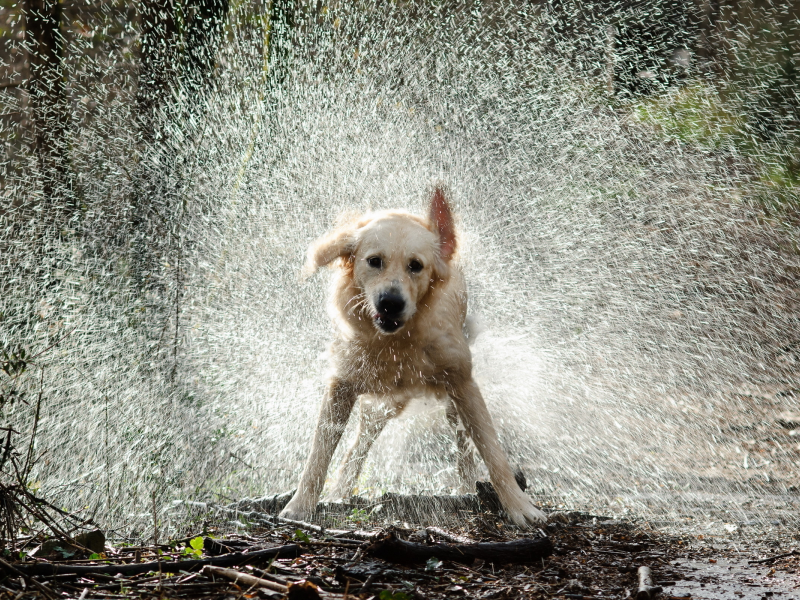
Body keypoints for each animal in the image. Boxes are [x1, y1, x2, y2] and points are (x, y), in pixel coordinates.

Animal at [278, 186, 548, 524]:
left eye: (416, 265)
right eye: (374, 261)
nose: (390, 303)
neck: (397, 342)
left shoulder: (463, 384)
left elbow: (493, 452)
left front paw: (519, 507)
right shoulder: (341, 385)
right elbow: (319, 454)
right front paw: (300, 505)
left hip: (448, 401)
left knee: (463, 444)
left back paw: (467, 487)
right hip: (382, 405)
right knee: (357, 447)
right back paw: (340, 491)